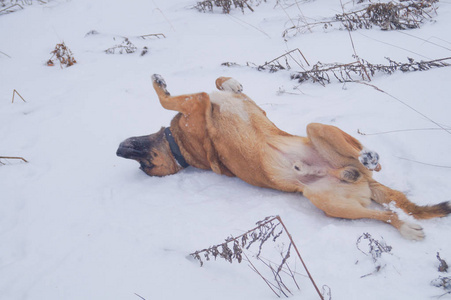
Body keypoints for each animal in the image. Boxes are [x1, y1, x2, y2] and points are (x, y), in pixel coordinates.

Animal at [117, 75, 451, 241]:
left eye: (144, 164)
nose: (119, 151)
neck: (179, 148)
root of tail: (363, 181)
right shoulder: (195, 103)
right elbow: (169, 99)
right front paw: (160, 85)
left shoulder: (228, 103)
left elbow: (217, 83)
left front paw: (230, 81)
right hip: (329, 203)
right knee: (384, 214)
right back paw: (402, 223)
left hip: (317, 130)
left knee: (366, 161)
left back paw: (366, 159)